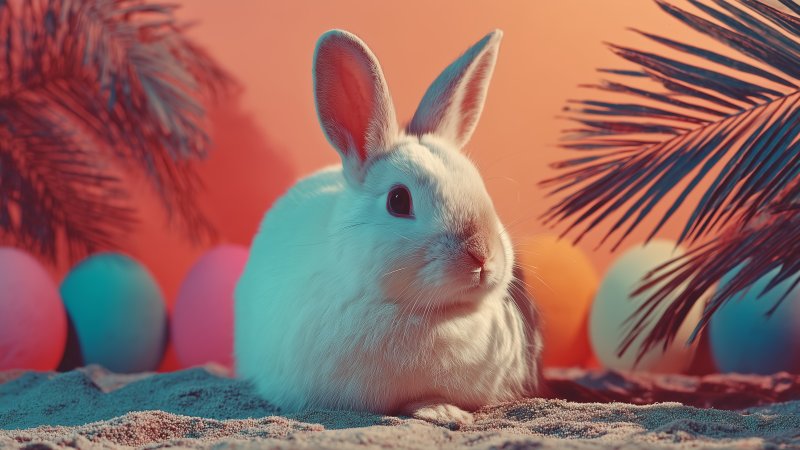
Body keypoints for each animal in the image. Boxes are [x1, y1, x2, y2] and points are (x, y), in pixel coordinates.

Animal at [235, 28, 543, 427]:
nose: (482, 255)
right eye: (399, 200)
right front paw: (441, 410)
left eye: (481, 187)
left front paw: (445, 409)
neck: (433, 314)